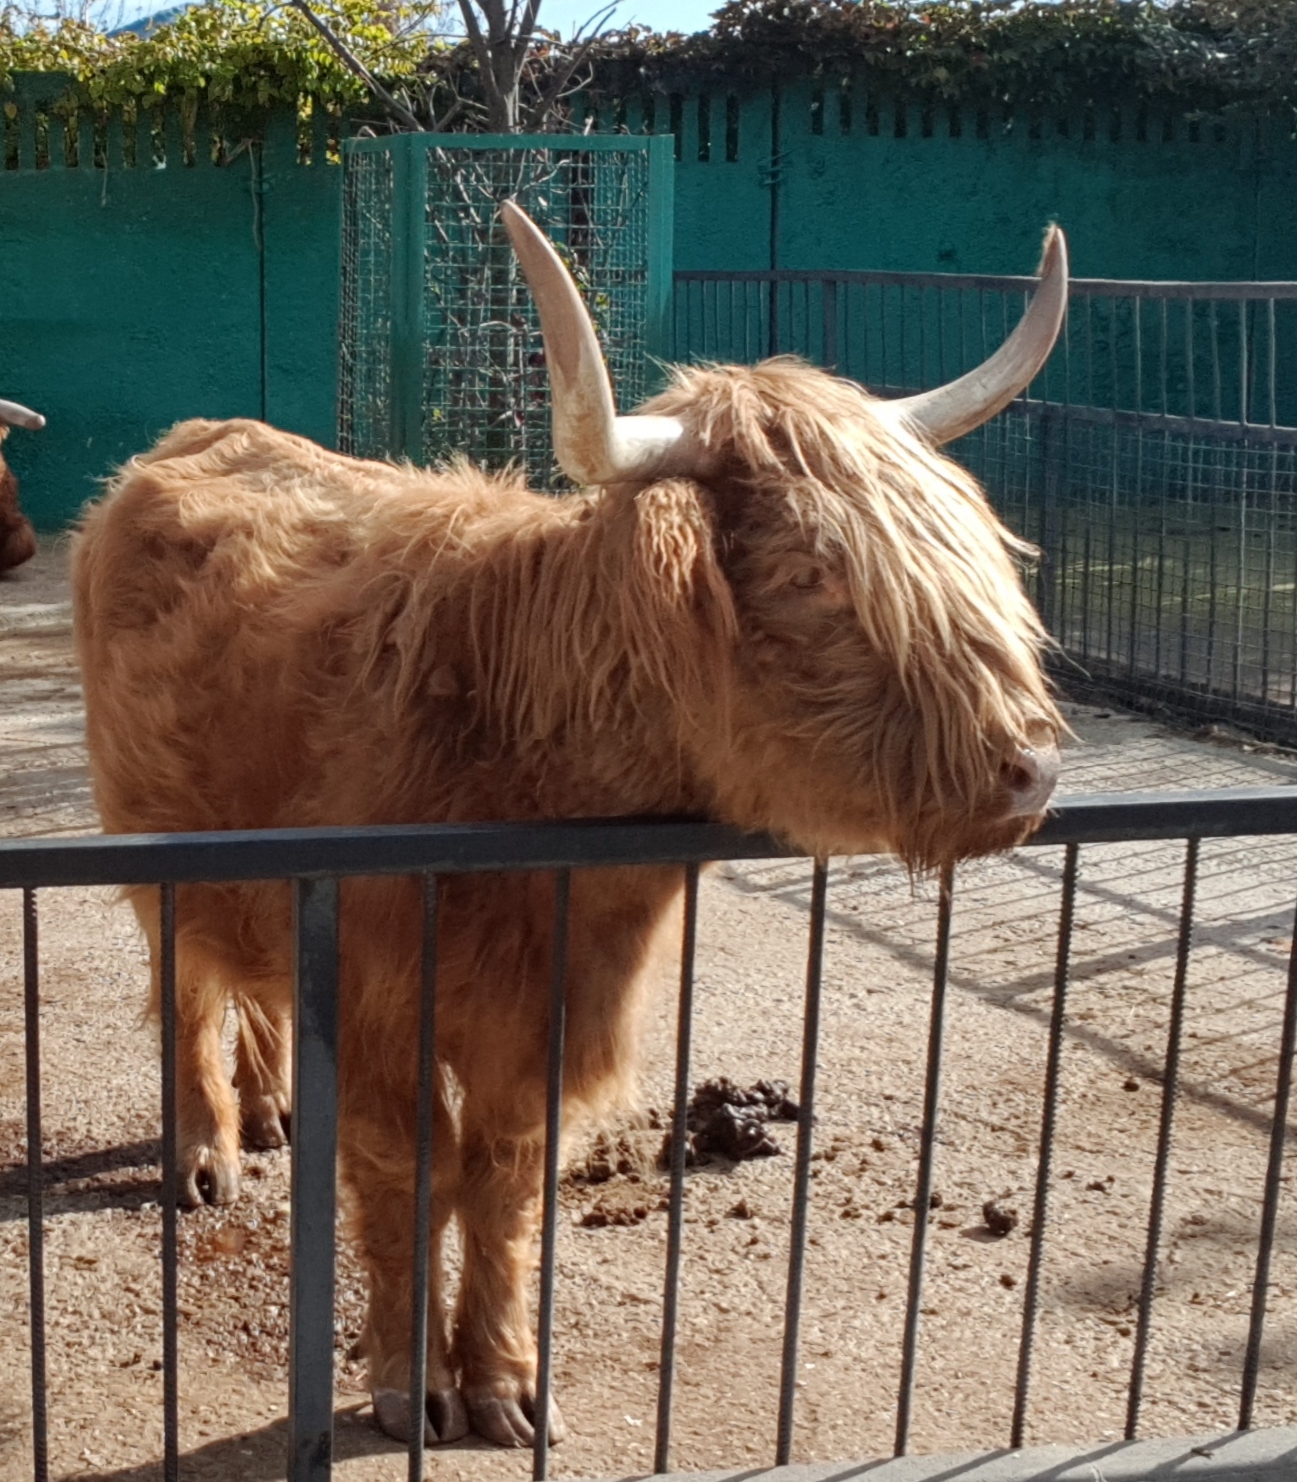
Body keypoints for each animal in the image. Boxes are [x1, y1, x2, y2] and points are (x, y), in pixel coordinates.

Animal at [68, 205, 1067, 1446]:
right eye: (817, 576)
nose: (1029, 767)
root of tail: (188, 440)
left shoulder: (548, 1013)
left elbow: (503, 1178)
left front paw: (502, 1384)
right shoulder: (379, 994)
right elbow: (407, 1170)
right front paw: (407, 1384)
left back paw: (268, 1110)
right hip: (152, 847)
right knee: (186, 984)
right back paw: (206, 1149)